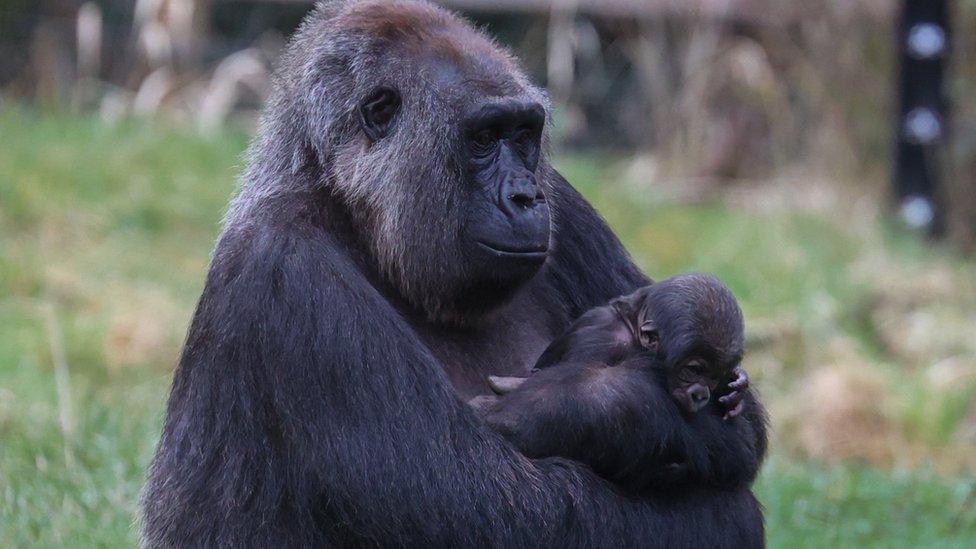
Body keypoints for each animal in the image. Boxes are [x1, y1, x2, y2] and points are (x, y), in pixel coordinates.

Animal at [141, 2, 768, 544]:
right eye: (484, 138)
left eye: (524, 134)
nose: (526, 197)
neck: (358, 216)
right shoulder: (289, 275)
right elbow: (491, 508)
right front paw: (602, 403)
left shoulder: (568, 204)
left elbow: (741, 429)